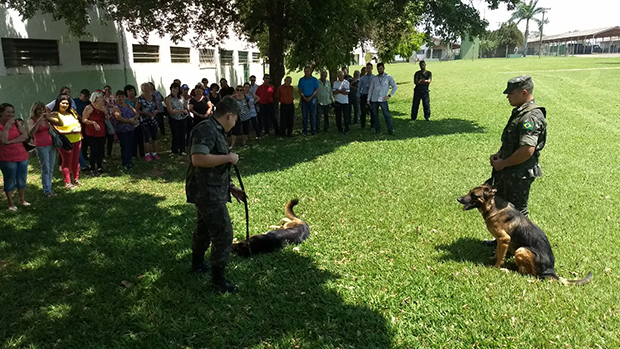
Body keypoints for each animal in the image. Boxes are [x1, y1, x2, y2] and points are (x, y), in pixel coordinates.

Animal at [458, 184, 592, 284]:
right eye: (469, 192)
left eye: (474, 195)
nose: (458, 199)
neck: (492, 207)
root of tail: (550, 272)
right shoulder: (500, 240)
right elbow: (498, 252)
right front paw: (493, 258)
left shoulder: (504, 238)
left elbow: (501, 256)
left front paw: (496, 267)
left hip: (521, 250)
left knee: (524, 273)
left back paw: (507, 270)